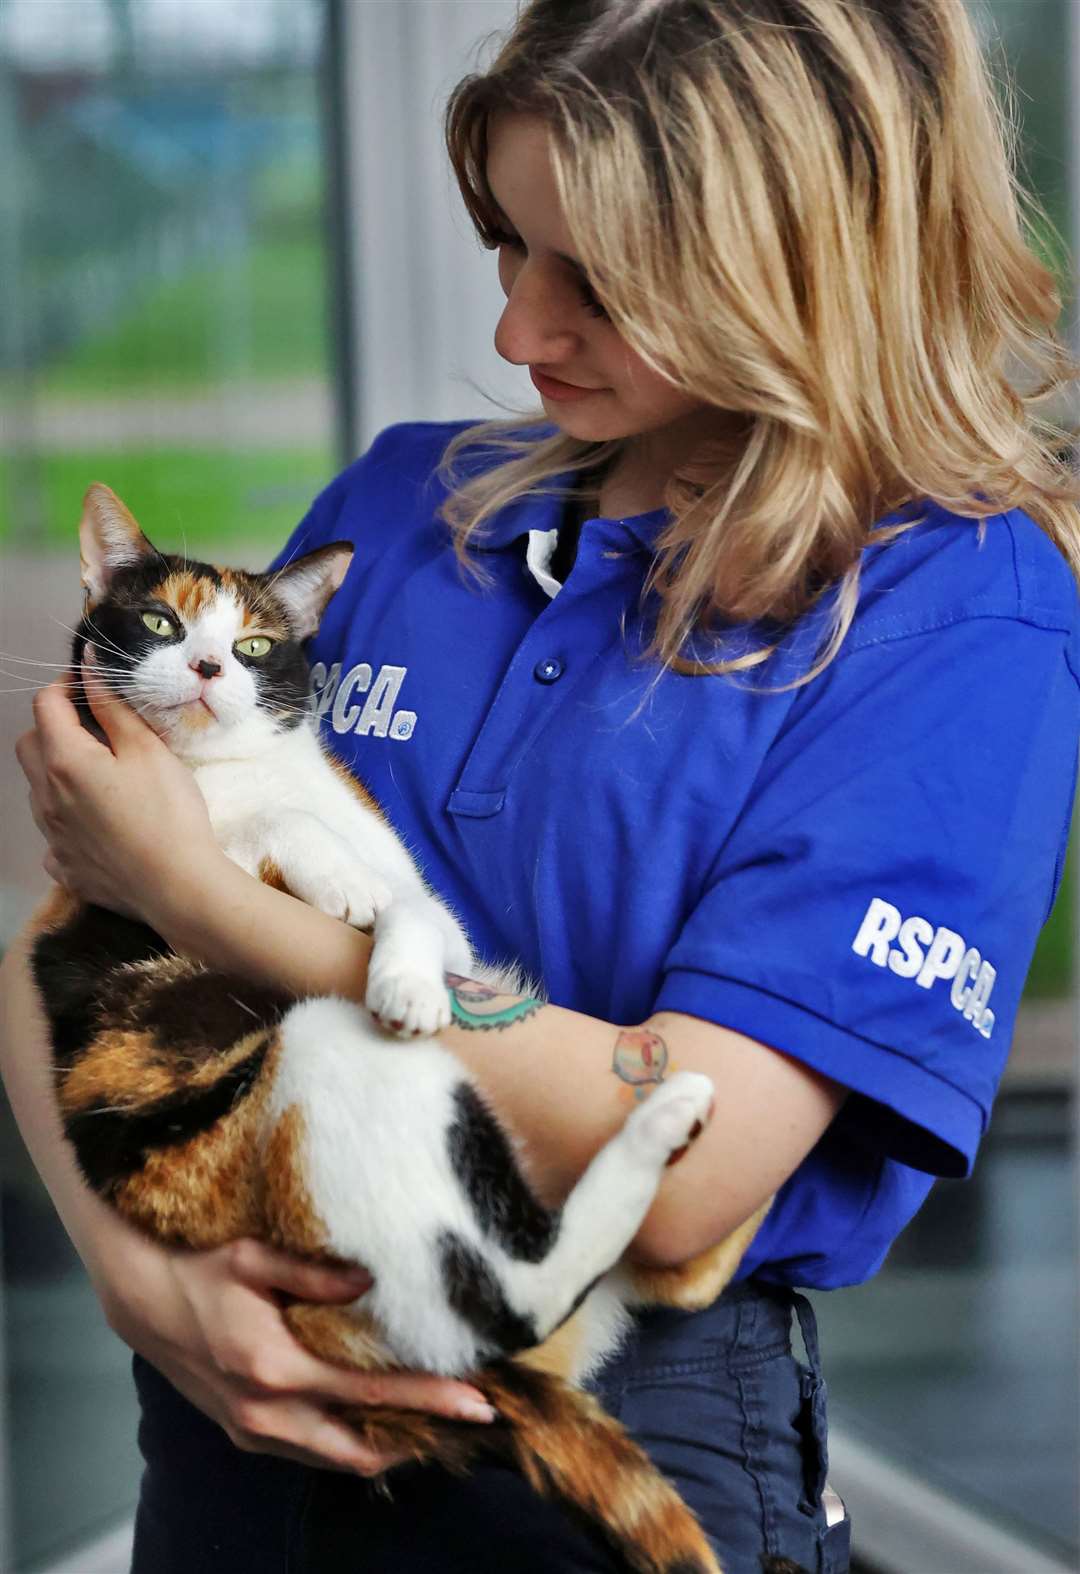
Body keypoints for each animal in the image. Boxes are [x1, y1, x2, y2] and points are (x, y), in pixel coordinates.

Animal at [27, 481, 771, 1574]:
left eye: (252, 645)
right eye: (160, 623)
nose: (207, 668)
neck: (231, 776)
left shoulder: (423, 896)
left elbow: (414, 911)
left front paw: (406, 971)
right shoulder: (155, 864)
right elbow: (266, 843)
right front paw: (336, 889)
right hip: (332, 1083)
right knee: (526, 1290)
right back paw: (669, 1116)